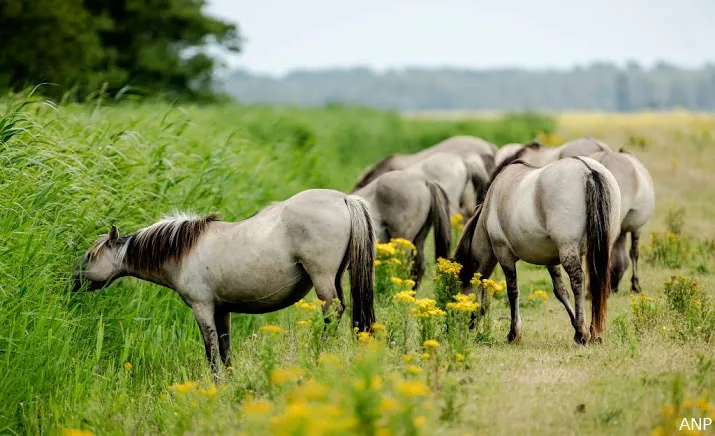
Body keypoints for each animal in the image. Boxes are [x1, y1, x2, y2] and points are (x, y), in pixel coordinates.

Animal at [458, 157, 620, 344]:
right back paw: (593, 332)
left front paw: (514, 333)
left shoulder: (503, 253)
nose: (454, 327)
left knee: (578, 280)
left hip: (567, 249)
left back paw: (582, 333)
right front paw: (574, 323)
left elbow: (512, 291)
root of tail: (588, 170)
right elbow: (560, 291)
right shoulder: (551, 259)